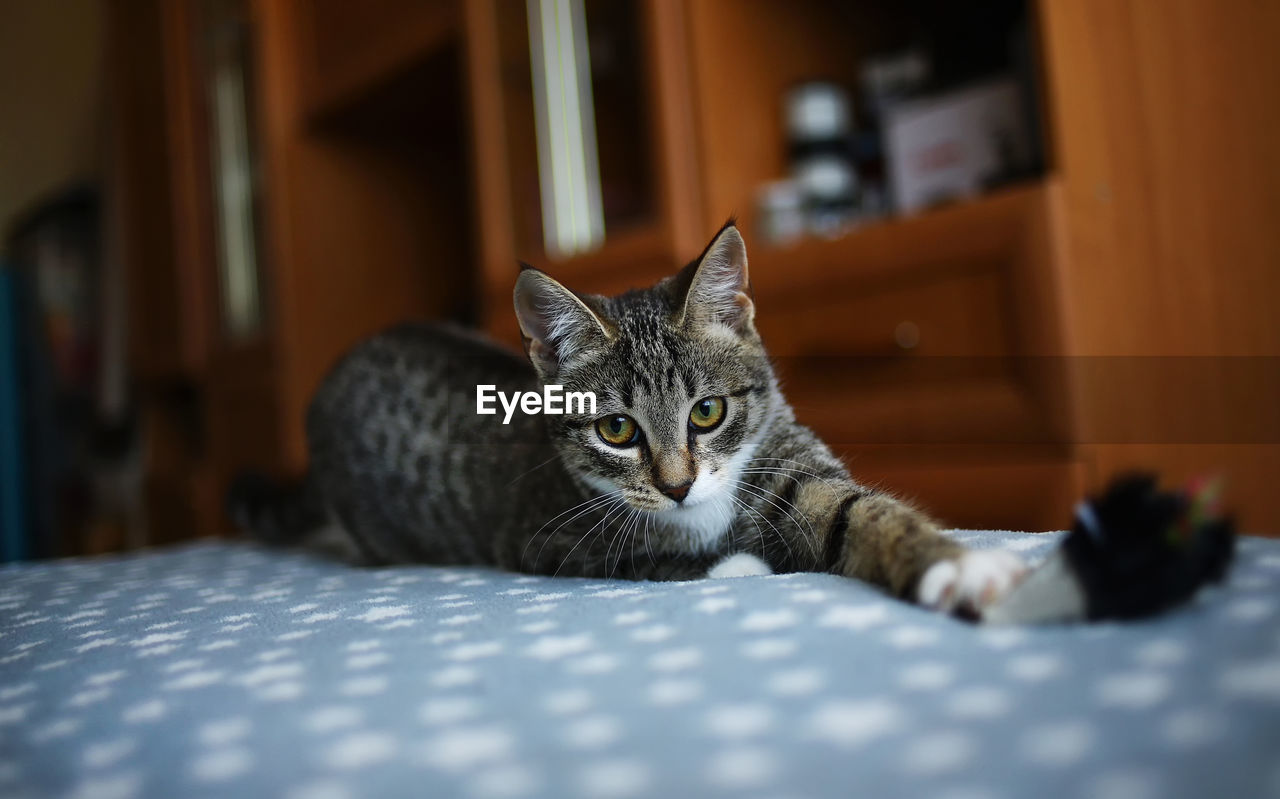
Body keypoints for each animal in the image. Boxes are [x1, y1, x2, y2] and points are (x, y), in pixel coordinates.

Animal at [232, 221, 1029, 614]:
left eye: (707, 412)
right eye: (617, 430)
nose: (677, 485)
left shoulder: (789, 465)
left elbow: (857, 511)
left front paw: (958, 567)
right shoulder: (548, 540)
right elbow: (645, 558)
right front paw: (734, 563)